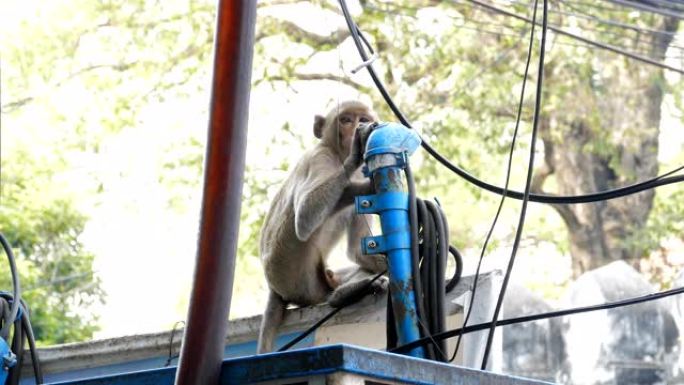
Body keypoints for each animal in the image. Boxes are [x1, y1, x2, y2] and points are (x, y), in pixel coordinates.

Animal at [256, 100, 388, 352]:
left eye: (363, 118)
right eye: (346, 120)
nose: (357, 127)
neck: (337, 155)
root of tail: (273, 287)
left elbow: (358, 253)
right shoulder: (320, 158)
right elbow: (305, 218)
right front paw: (355, 155)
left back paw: (349, 290)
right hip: (301, 281)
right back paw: (341, 296)